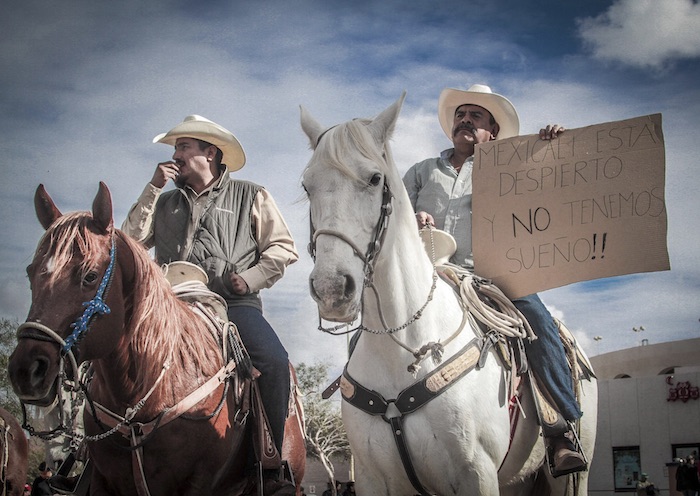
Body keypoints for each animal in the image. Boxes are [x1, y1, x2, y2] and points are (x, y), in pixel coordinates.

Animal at [298, 94, 600, 496]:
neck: (403, 347)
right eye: (307, 186)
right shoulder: (372, 478)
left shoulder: (477, 473)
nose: (331, 289)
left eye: (375, 178)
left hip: (573, 473)